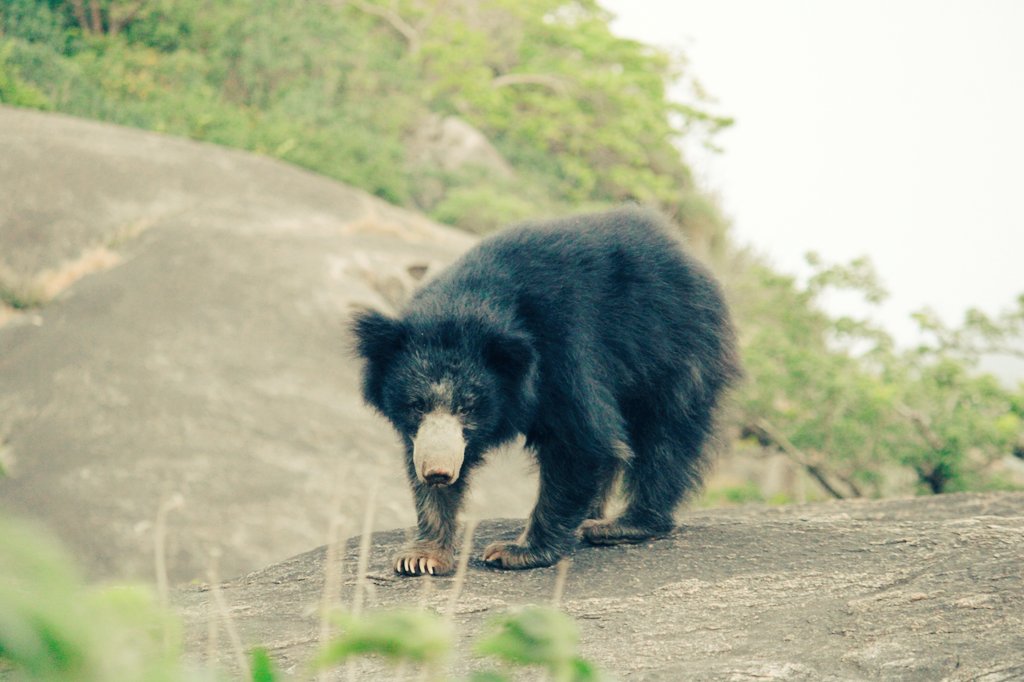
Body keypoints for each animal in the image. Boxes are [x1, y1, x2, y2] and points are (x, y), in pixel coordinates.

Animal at [351, 206, 741, 575]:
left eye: (468, 408)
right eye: (416, 405)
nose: (438, 473)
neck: (469, 305)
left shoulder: (564, 351)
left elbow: (581, 443)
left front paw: (514, 551)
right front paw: (421, 557)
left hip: (676, 349)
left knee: (665, 438)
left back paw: (622, 525)